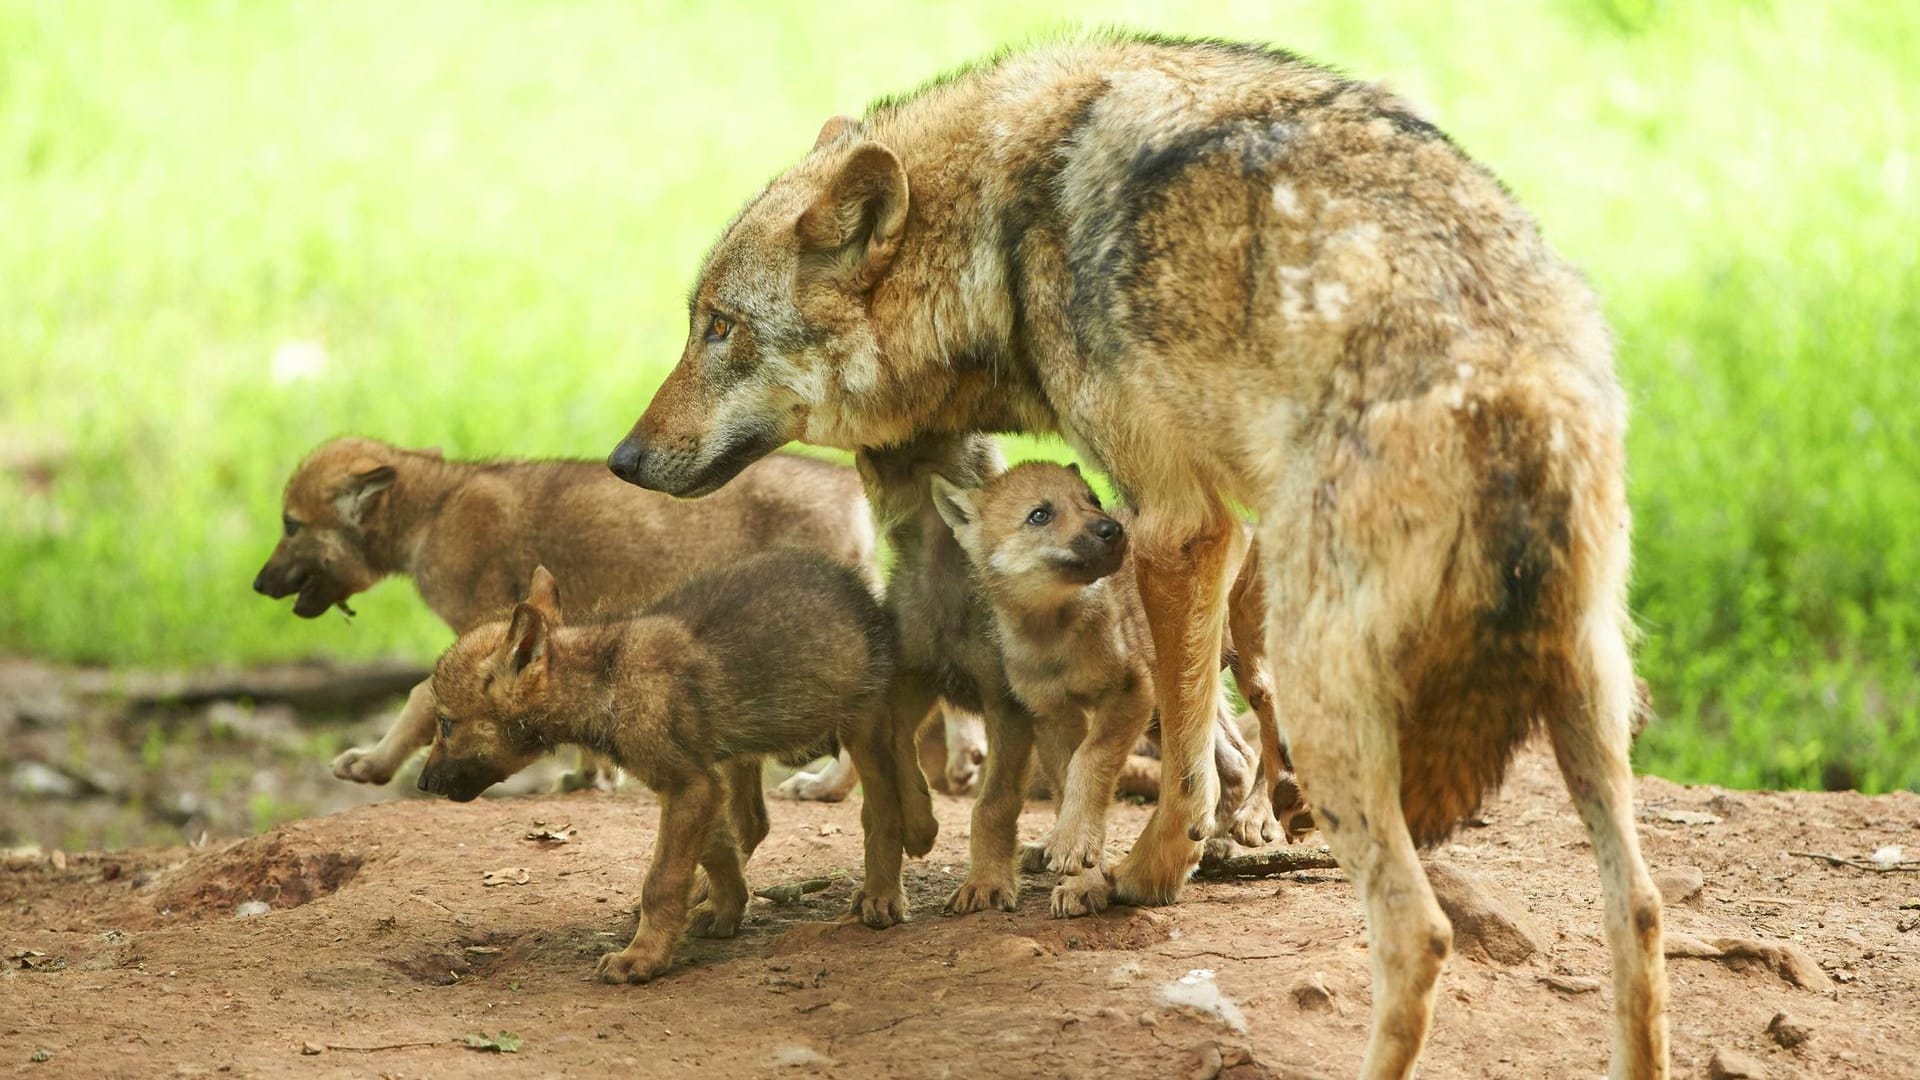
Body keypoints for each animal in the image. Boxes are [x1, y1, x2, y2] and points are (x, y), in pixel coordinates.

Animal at [610, 33, 1666, 1076]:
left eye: (720, 329)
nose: (621, 460)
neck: (1003, 231)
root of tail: (1512, 384)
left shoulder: (1177, 526)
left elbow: (1180, 751)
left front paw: (1140, 869)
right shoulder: (1202, 531)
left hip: (1330, 699)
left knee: (1421, 932)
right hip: (1588, 705)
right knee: (1641, 914)